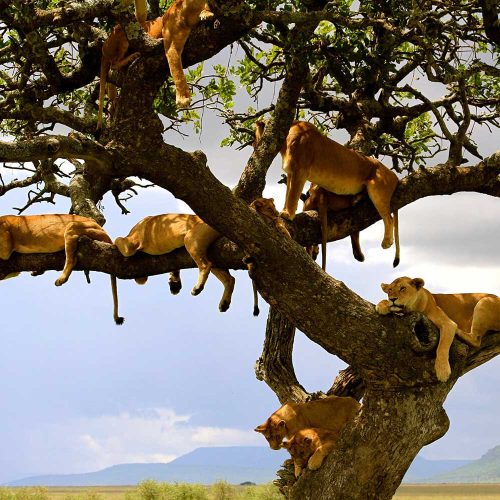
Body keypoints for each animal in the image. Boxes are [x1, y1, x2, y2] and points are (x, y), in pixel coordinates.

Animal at [256, 121, 400, 266]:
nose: (256, 144)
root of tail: (394, 175)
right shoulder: (291, 173)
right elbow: (288, 195)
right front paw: (285, 210)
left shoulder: (300, 171)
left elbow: (292, 196)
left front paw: (287, 214)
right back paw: (356, 199)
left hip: (378, 191)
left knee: (389, 217)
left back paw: (387, 242)